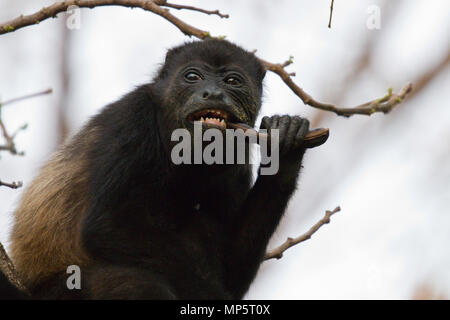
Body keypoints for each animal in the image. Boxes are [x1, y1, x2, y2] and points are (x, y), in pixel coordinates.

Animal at [1, 40, 326, 300]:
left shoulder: (238, 154)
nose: (213, 93)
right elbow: (106, 225)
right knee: (133, 283)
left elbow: (233, 272)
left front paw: (286, 148)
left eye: (233, 81)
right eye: (192, 76)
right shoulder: (133, 118)